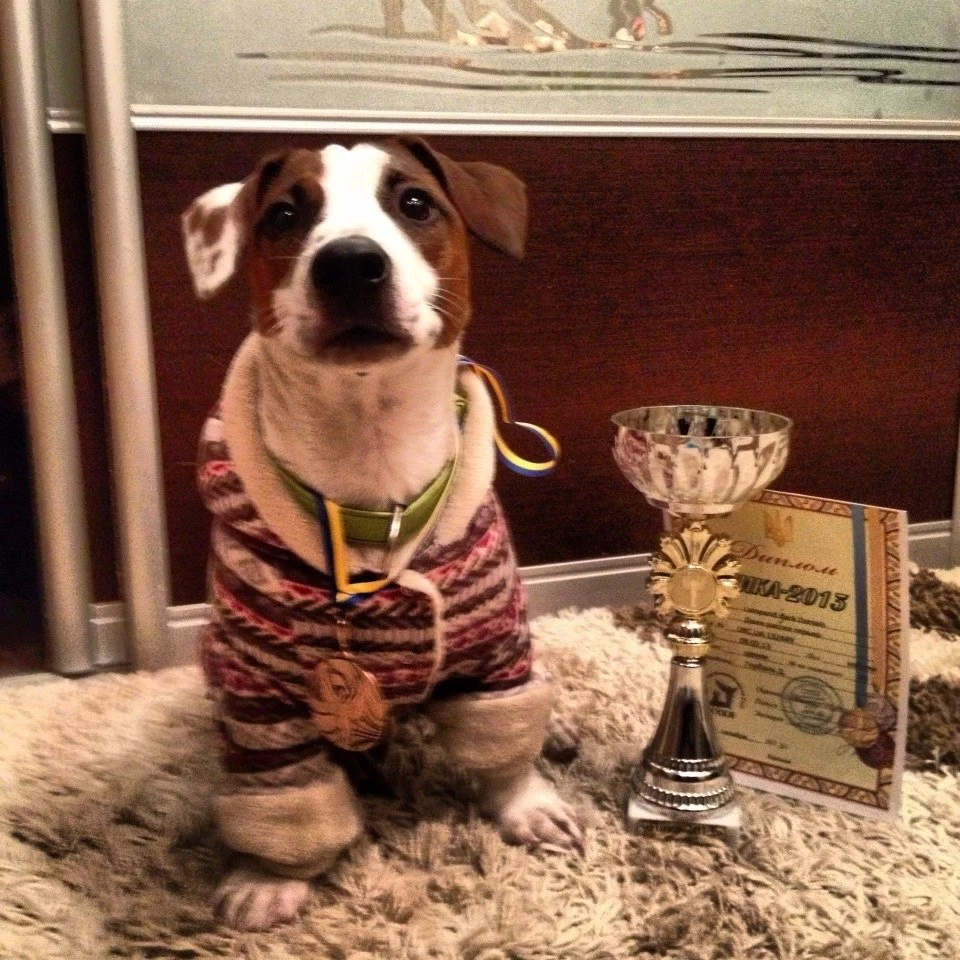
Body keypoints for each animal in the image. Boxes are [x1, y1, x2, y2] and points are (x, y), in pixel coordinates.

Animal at [182, 138, 584, 931]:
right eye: (284, 216)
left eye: (415, 203)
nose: (349, 262)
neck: (373, 485)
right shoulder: (259, 694)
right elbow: (284, 790)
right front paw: (269, 876)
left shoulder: (495, 642)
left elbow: (506, 743)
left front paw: (525, 803)